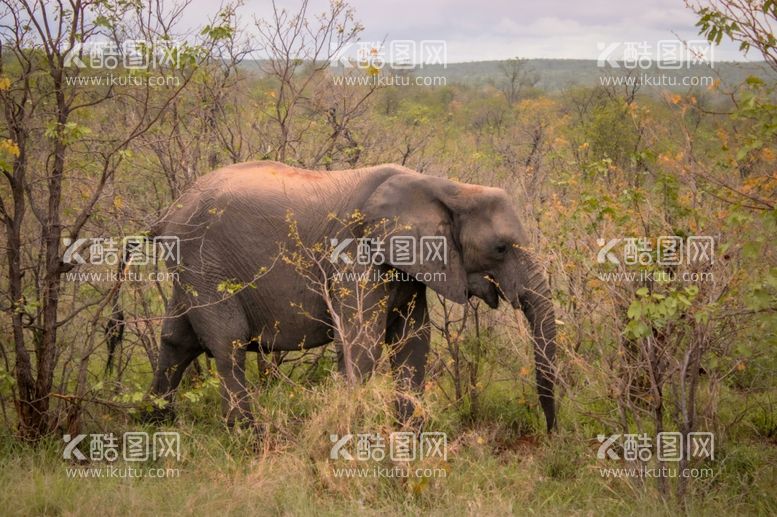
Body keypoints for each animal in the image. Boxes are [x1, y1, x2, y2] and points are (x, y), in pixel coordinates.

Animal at [142, 160, 556, 432]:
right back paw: (248, 433)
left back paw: (154, 421)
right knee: (227, 345)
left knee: (176, 340)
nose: (551, 432)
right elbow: (363, 343)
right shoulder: (356, 255)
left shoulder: (406, 267)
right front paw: (354, 432)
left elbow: (413, 341)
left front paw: (409, 437)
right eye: (500, 248)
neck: (444, 187)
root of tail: (169, 212)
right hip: (205, 265)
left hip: (191, 269)